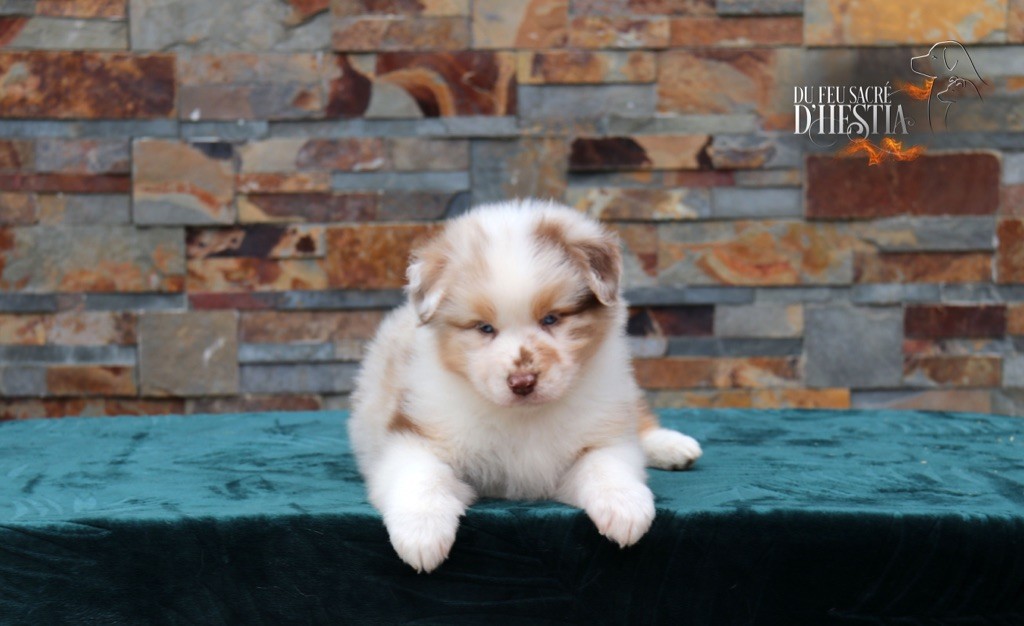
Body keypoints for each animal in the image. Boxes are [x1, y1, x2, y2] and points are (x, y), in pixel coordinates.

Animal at [348, 199, 702, 573]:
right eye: (485, 328)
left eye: (551, 318)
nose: (522, 383)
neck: (522, 416)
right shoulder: (413, 431)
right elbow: (420, 476)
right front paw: (421, 534)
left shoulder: (603, 431)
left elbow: (607, 465)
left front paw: (625, 509)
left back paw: (674, 445)